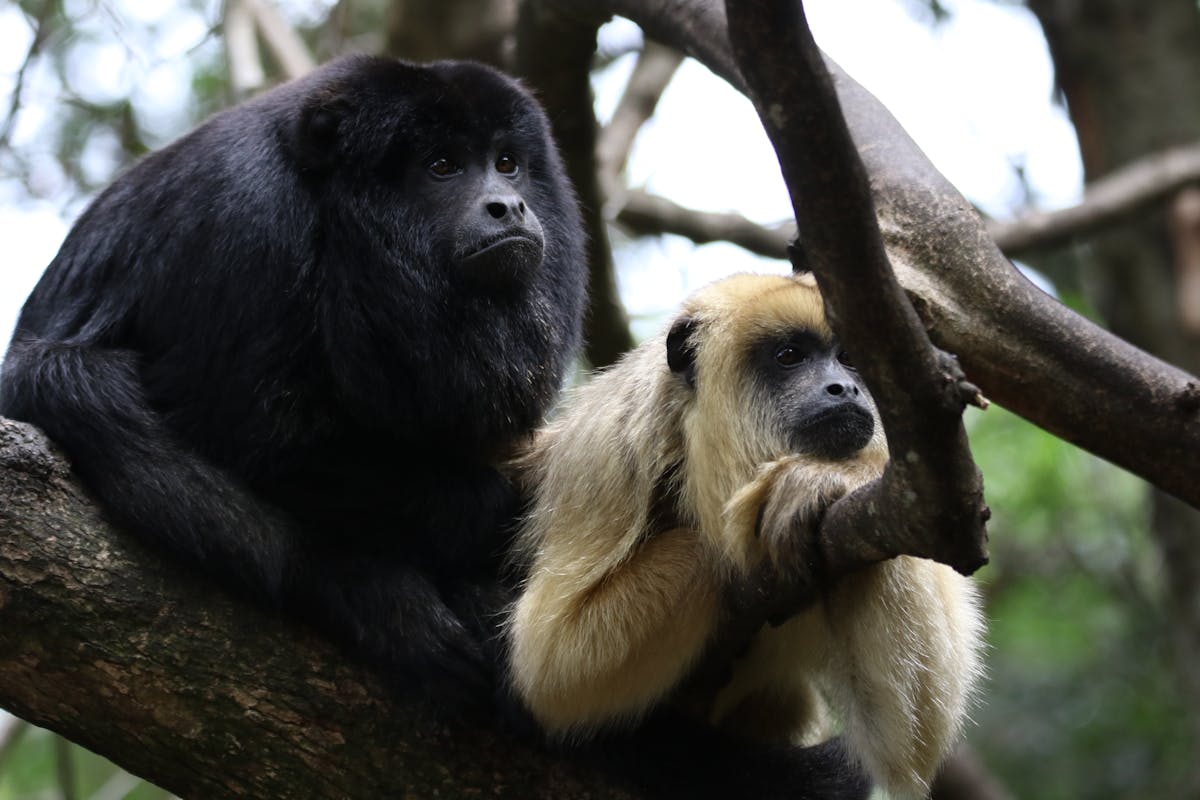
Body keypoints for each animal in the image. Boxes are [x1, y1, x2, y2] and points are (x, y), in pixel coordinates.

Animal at [0, 54, 588, 694]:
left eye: (507, 163)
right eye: (442, 166)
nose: (509, 205)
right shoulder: (249, 222)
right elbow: (252, 441)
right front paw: (488, 508)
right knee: (75, 385)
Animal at [506, 271, 985, 798]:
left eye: (848, 358)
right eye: (790, 356)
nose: (846, 388)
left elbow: (912, 733)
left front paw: (832, 478)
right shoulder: (606, 454)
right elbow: (555, 672)